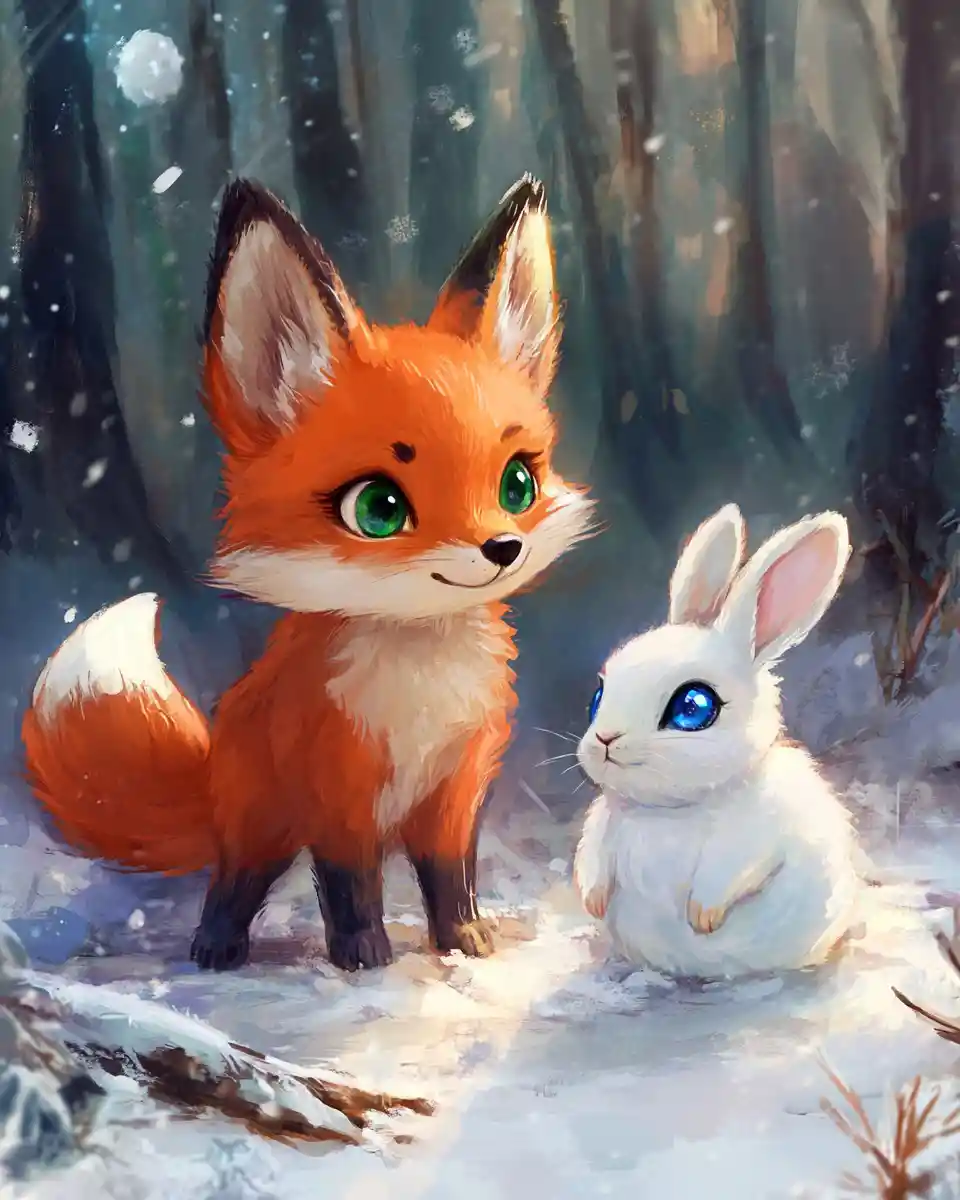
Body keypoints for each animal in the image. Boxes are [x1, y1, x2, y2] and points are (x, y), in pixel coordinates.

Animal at [20, 175, 595, 973]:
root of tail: (211, 763)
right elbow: (350, 884)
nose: (501, 548)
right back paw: (216, 946)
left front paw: (463, 939)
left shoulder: (454, 792)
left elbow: (450, 877)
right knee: (236, 880)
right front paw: (363, 954)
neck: (419, 690)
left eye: (517, 484)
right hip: (259, 821)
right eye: (379, 508)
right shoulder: (339, 797)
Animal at [572, 503, 864, 980]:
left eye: (692, 706)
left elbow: (729, 870)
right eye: (598, 694)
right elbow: (592, 858)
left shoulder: (756, 835)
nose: (604, 740)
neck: (671, 811)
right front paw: (593, 902)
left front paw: (702, 916)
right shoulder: (603, 826)